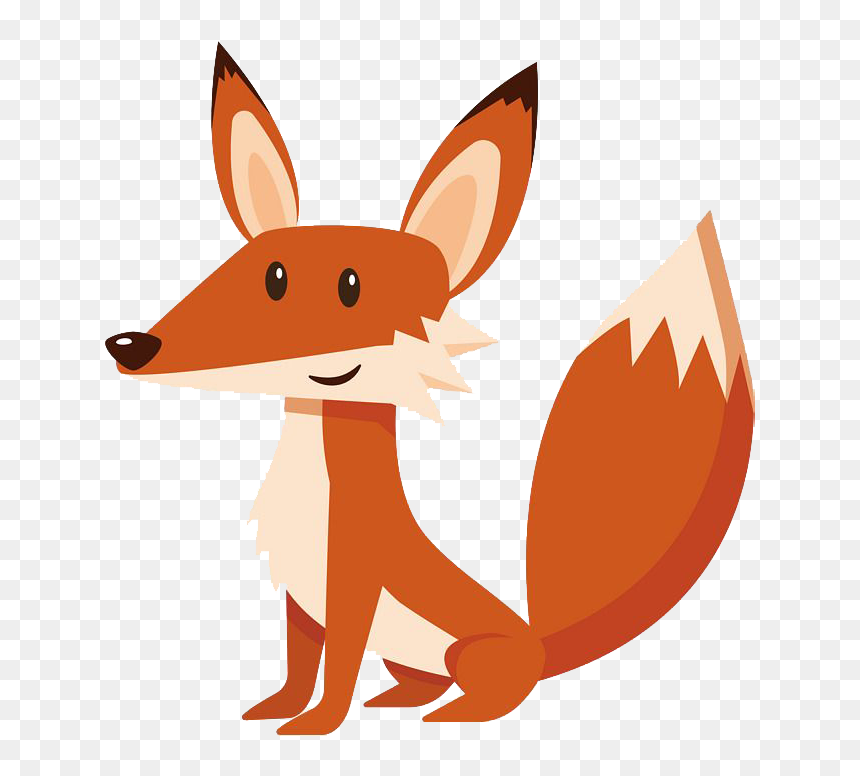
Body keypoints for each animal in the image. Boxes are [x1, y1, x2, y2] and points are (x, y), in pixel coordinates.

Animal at [105, 45, 755, 735]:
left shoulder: (353, 584)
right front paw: (276, 709)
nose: (132, 345)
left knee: (492, 692)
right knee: (418, 680)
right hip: (409, 656)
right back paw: (400, 699)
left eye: (348, 286)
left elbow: (336, 670)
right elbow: (299, 666)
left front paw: (318, 725)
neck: (311, 485)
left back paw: (456, 714)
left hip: (469, 652)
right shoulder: (301, 599)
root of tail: (536, 642)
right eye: (253, 272)